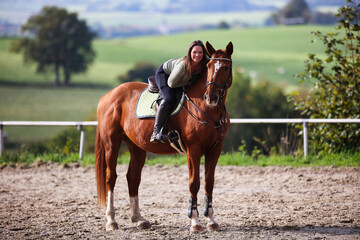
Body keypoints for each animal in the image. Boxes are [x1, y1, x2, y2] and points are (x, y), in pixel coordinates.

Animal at [95, 41, 233, 232]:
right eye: (209, 66)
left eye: (226, 68)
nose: (210, 97)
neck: (207, 109)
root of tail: (108, 96)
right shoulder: (193, 150)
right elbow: (194, 183)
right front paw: (195, 222)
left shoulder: (215, 150)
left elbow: (209, 182)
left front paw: (211, 221)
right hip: (111, 144)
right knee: (111, 178)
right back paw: (111, 221)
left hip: (136, 146)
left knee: (133, 178)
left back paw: (139, 219)